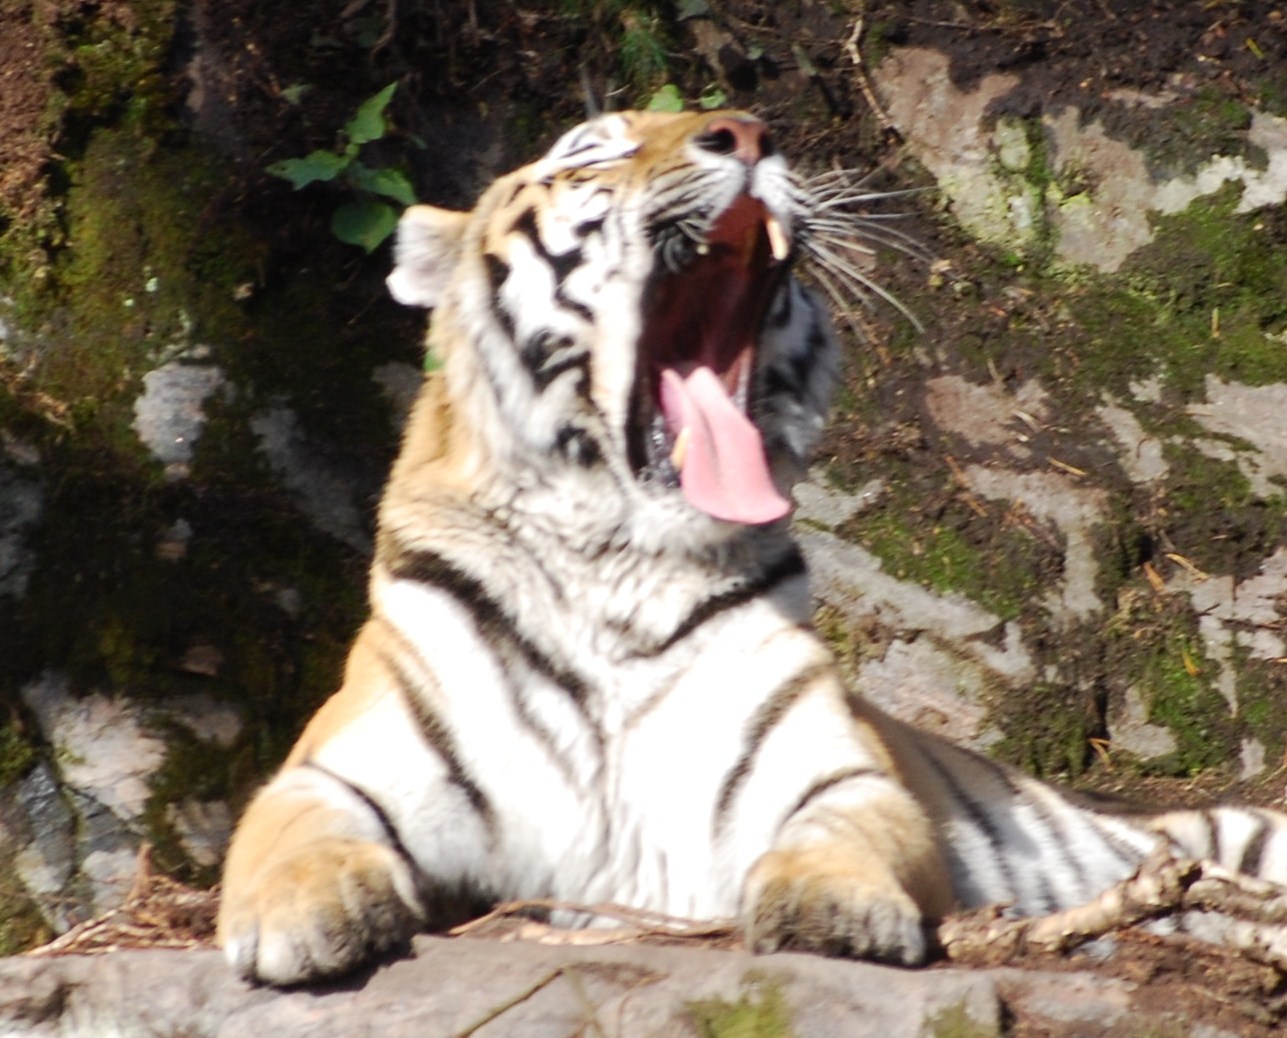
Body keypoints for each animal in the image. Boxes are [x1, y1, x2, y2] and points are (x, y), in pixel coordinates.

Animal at [216, 108, 1287, 986]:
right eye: (591, 150)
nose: (746, 131)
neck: (612, 558)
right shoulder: (338, 767)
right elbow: (290, 833)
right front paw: (305, 920)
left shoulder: (827, 772)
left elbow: (838, 831)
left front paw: (832, 907)